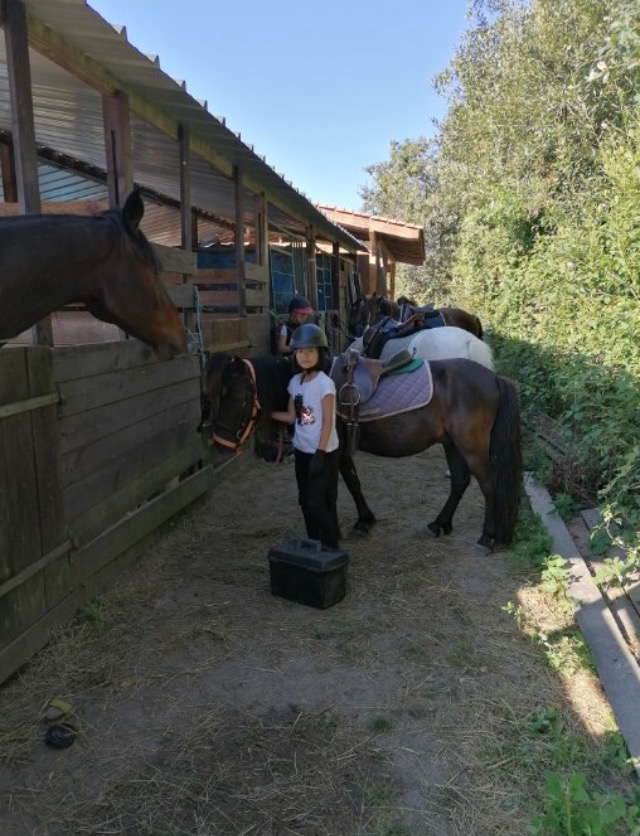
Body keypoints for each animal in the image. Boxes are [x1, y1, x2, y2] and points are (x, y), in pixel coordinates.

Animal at [202, 352, 524, 556]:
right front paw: (363, 522)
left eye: (238, 396)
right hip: (451, 443)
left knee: (488, 486)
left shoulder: (333, 449)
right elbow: (351, 483)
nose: (219, 443)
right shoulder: (342, 450)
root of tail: (495, 378)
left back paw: (486, 538)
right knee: (459, 482)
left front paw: (346, 529)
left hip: (470, 446)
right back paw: (438, 524)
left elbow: (338, 488)